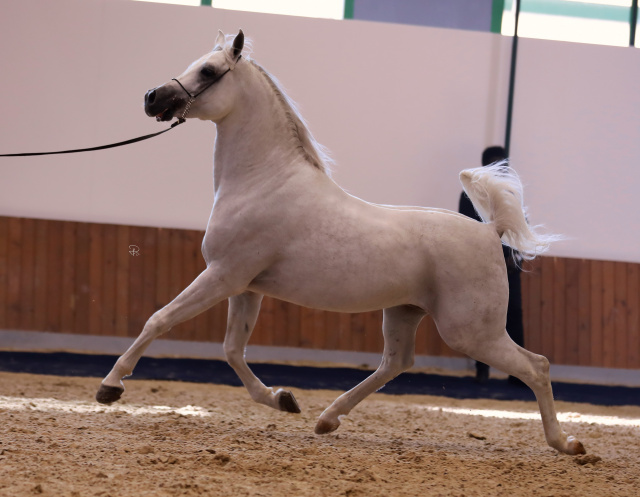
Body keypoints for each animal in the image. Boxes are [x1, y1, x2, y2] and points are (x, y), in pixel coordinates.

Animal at [96, 30, 584, 454]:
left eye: (209, 70)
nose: (152, 98)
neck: (262, 179)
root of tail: (489, 231)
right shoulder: (245, 287)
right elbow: (232, 351)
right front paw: (282, 399)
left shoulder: (223, 276)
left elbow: (159, 320)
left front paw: (110, 387)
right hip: (405, 312)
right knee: (396, 363)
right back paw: (327, 418)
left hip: (471, 332)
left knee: (536, 366)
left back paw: (566, 445)